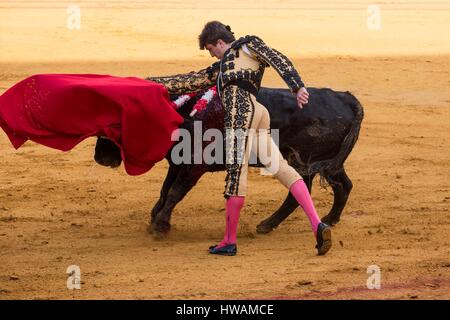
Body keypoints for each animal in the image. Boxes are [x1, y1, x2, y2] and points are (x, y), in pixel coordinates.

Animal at [94, 87, 362, 238]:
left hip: (304, 161)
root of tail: (343, 97)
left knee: (301, 190)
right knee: (342, 186)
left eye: (115, 126)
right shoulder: (177, 163)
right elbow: (164, 190)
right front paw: (155, 219)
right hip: (326, 163)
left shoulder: (194, 166)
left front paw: (160, 225)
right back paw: (328, 219)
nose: (100, 158)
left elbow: (174, 192)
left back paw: (269, 224)